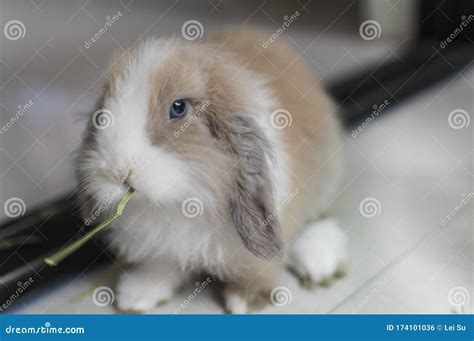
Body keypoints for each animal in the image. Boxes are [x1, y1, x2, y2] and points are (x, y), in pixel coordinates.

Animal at [76, 27, 346, 312]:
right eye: (102, 113)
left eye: (178, 108)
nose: (119, 170)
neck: (185, 199)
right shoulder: (160, 246)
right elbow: (160, 265)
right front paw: (136, 296)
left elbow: (261, 270)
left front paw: (244, 301)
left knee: (325, 218)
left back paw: (319, 262)